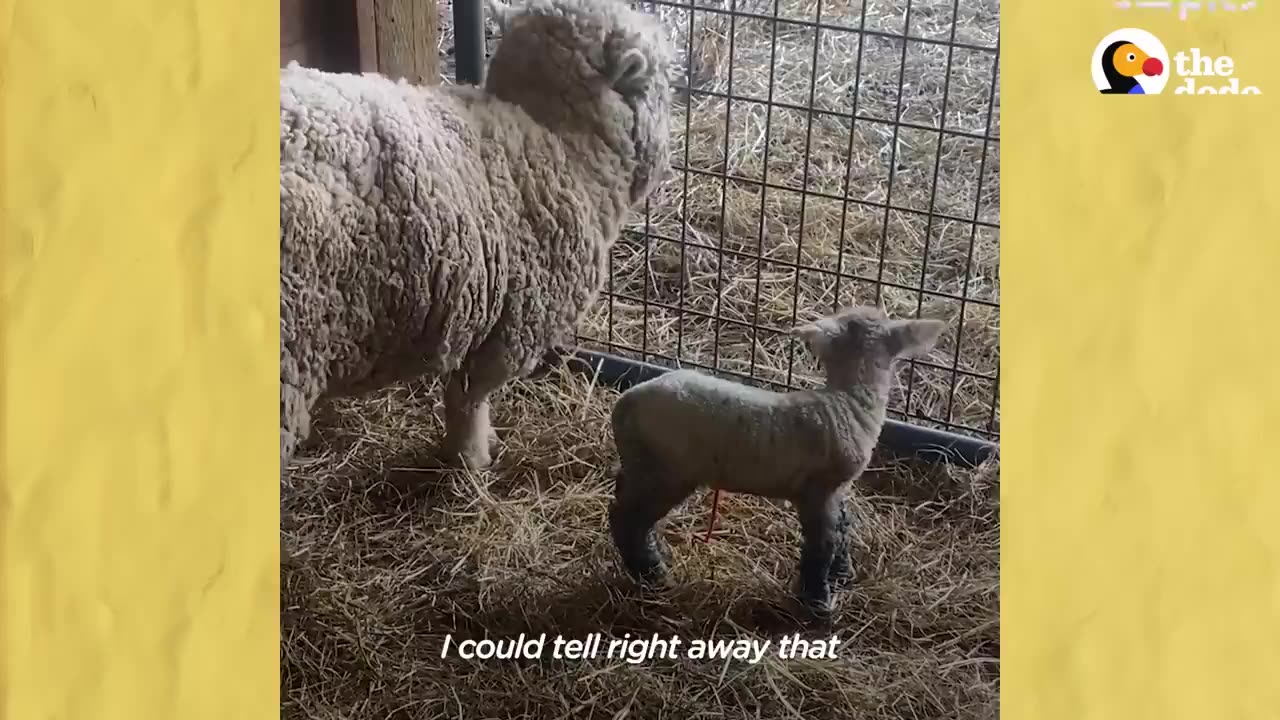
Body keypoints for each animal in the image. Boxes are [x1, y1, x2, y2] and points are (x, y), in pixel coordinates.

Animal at [604, 304, 947, 614]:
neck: (847, 401)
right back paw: (653, 573)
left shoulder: (838, 490)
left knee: (625, 504)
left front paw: (843, 575)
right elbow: (821, 545)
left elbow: (843, 529)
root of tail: (625, 404)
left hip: (642, 463)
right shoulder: (818, 491)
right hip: (668, 470)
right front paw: (818, 601)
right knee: (628, 517)